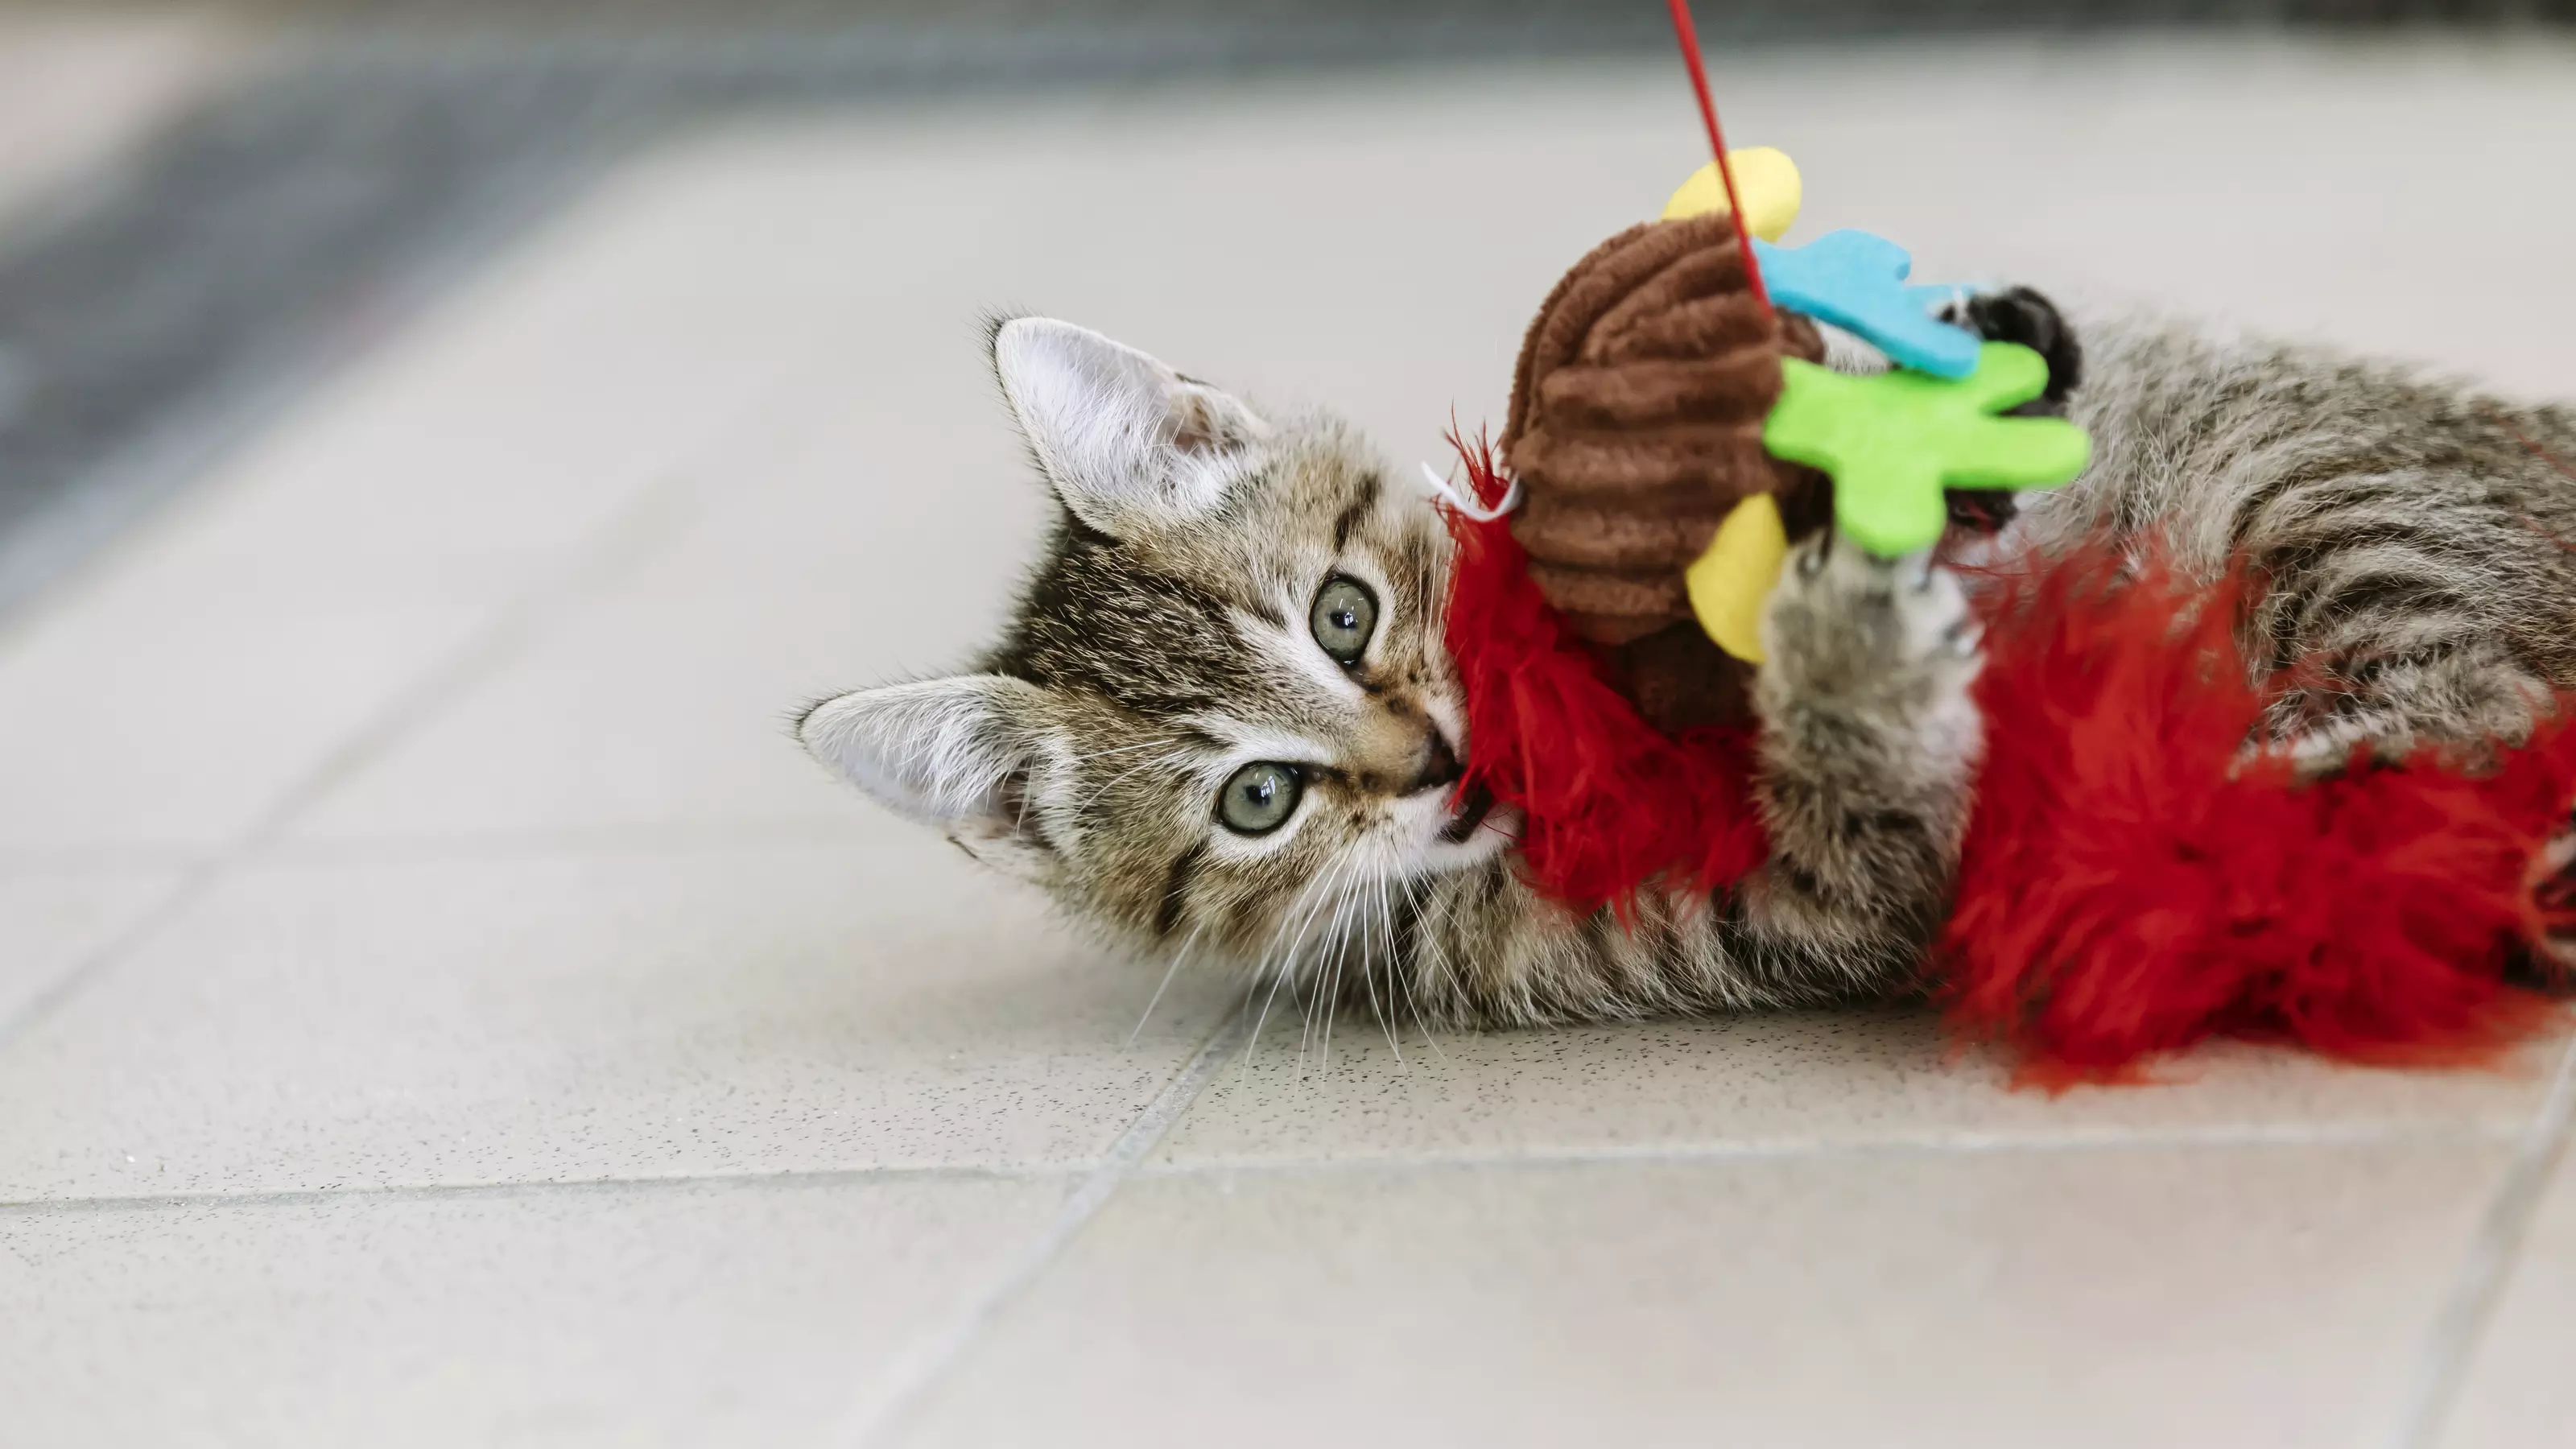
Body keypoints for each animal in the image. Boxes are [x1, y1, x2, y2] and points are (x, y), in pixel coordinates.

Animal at [793, 301, 2576, 1026]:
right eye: (1256, 804)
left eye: (1344, 615)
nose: (1432, 761)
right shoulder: (1822, 895)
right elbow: (1872, 780)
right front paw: (1843, 638)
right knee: (2476, 714)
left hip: (2300, 477)